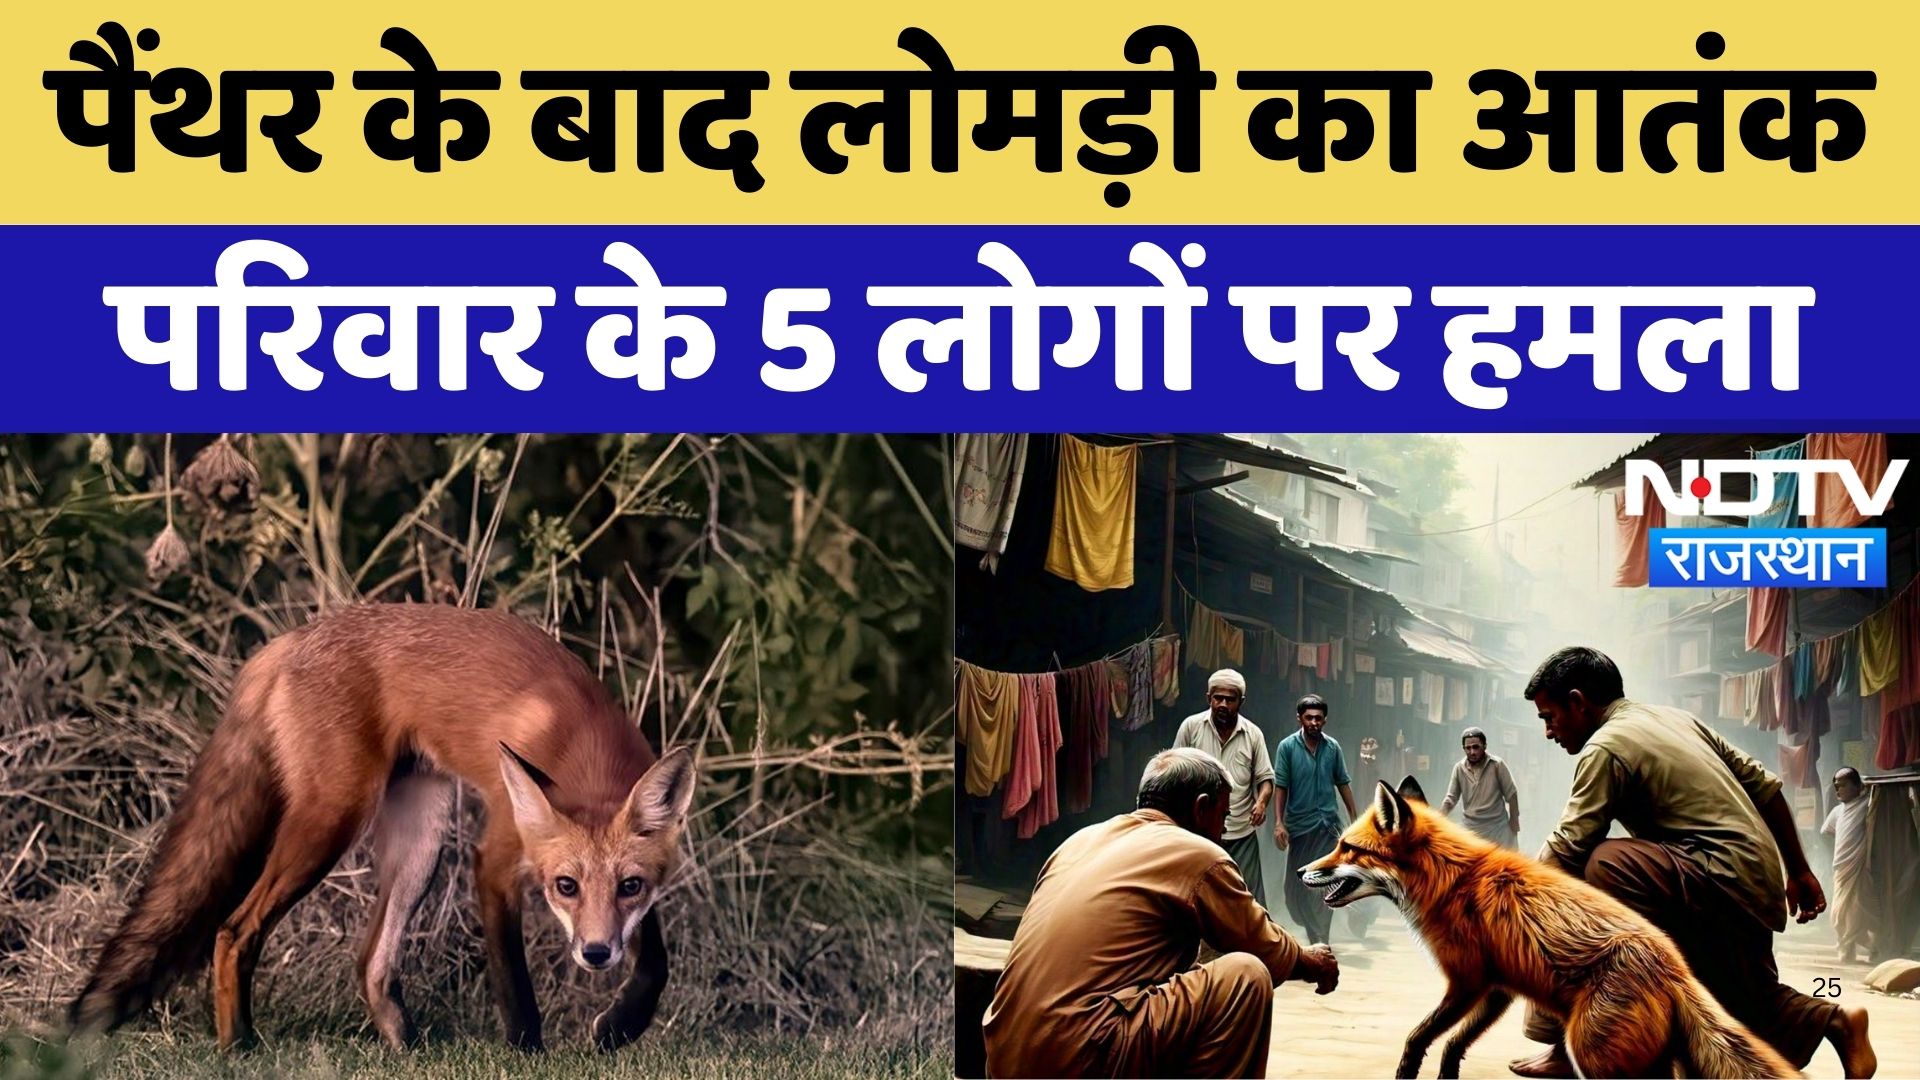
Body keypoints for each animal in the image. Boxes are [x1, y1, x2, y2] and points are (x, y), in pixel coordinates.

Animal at [67, 603, 698, 1053]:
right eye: (564, 886)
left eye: (630, 886)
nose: (595, 954)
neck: (583, 750)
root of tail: (288, 640)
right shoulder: (494, 860)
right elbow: (513, 981)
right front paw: (528, 1052)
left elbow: (657, 964)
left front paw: (620, 1027)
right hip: (331, 821)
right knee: (235, 929)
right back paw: (239, 1045)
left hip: (422, 839)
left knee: (369, 961)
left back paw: (404, 1046)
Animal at [1299, 777, 1799, 1080]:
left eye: (1346, 848)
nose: (1303, 870)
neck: (1452, 881)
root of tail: (1676, 966)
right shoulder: (1498, 987)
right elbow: (1454, 1046)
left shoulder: (1466, 981)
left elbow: (1419, 1036)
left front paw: (1405, 1070)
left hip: (1596, 1058)